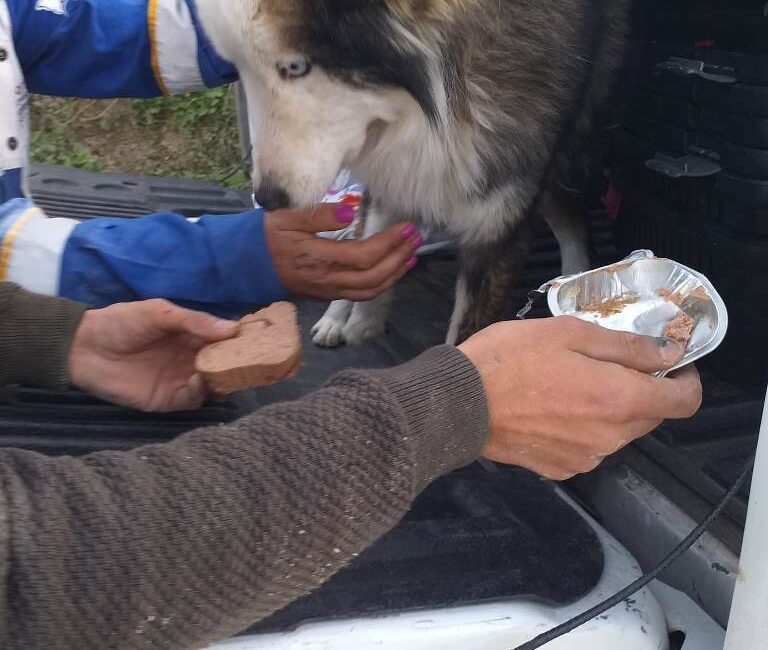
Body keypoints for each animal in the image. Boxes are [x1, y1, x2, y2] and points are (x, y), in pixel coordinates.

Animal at [198, 0, 632, 344]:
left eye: (295, 66)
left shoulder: (498, 218)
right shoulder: (391, 171)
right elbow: (370, 232)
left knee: (570, 219)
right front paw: (361, 317)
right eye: (237, 69)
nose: (268, 200)